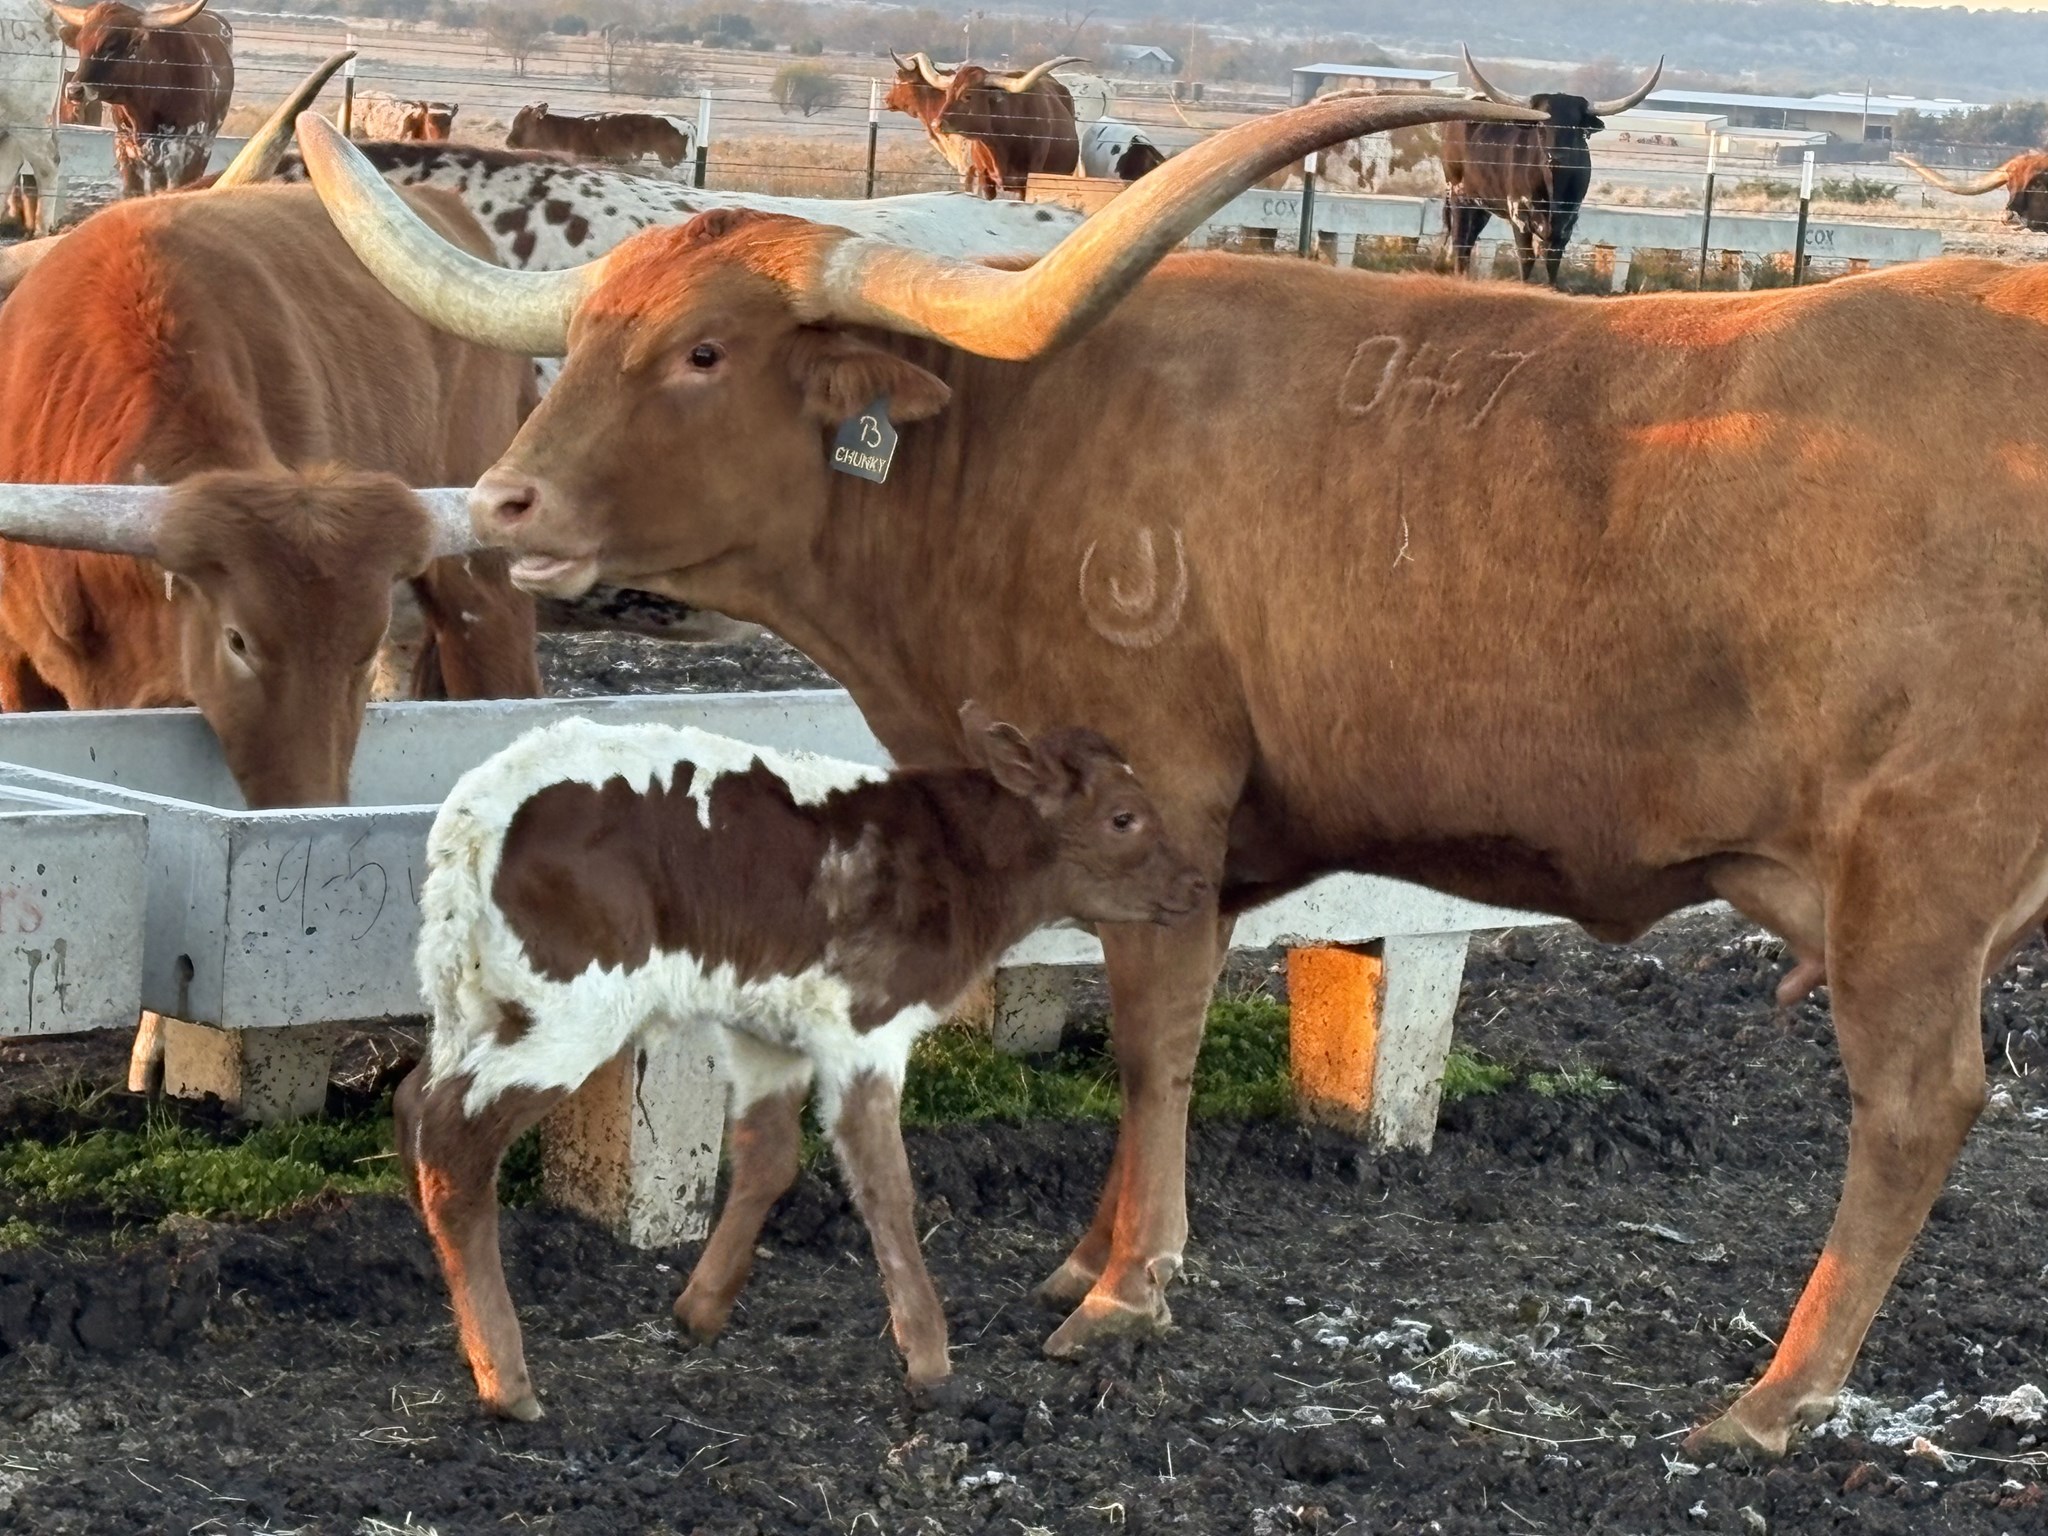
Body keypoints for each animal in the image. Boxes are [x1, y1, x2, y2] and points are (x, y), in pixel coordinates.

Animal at [402, 709, 1207, 1418]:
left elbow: (768, 1159)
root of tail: (477, 814)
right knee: (454, 1143)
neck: (953, 856)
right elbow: (885, 1186)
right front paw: (929, 1358)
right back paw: (506, 1380)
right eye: (1125, 818)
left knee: (414, 1101)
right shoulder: (865, 1030)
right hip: (569, 1014)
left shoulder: (770, 1033)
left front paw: (699, 1311)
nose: (1198, 888)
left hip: (475, 1006)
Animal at [1443, 45, 1663, 284]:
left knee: (1470, 238)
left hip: (1481, 203)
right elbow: (1526, 258)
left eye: (1575, 127)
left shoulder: (1566, 222)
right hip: (1459, 194)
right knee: (1460, 242)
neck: (1553, 187)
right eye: (1541, 125)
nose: (1556, 157)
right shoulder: (1519, 215)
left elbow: (1552, 261)